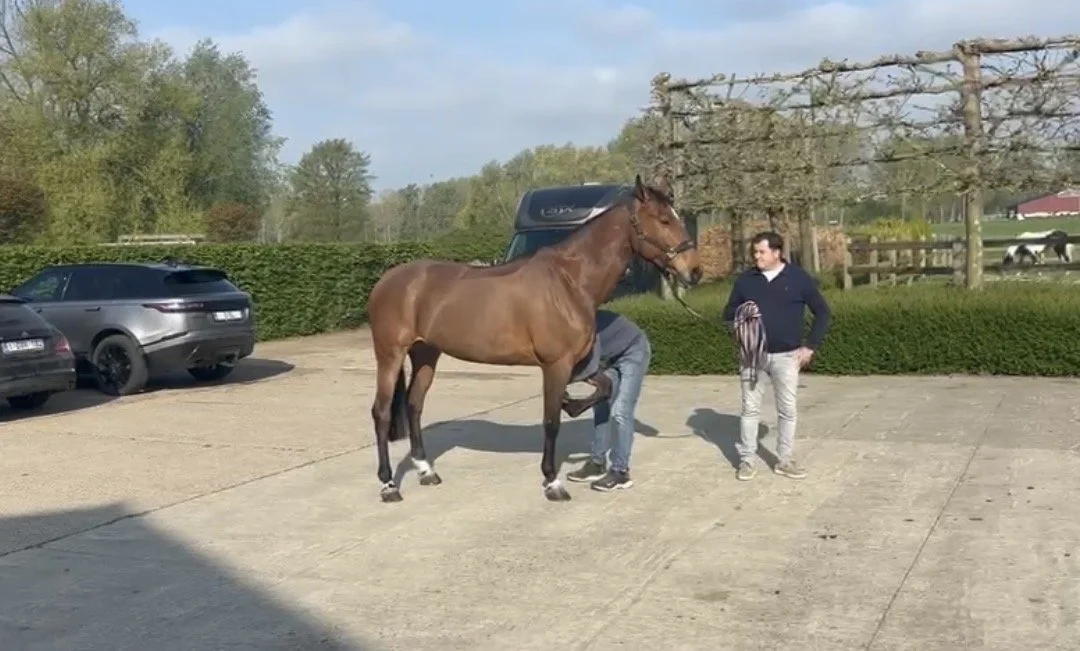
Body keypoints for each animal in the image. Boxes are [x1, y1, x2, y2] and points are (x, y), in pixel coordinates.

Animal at [364, 174, 702, 503]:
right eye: (664, 220)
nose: (695, 271)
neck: (569, 282)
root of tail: (387, 280)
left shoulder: (579, 363)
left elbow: (604, 387)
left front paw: (572, 406)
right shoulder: (556, 365)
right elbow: (551, 423)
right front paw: (552, 482)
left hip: (426, 354)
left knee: (414, 405)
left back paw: (426, 471)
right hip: (390, 354)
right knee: (381, 412)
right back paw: (388, 485)